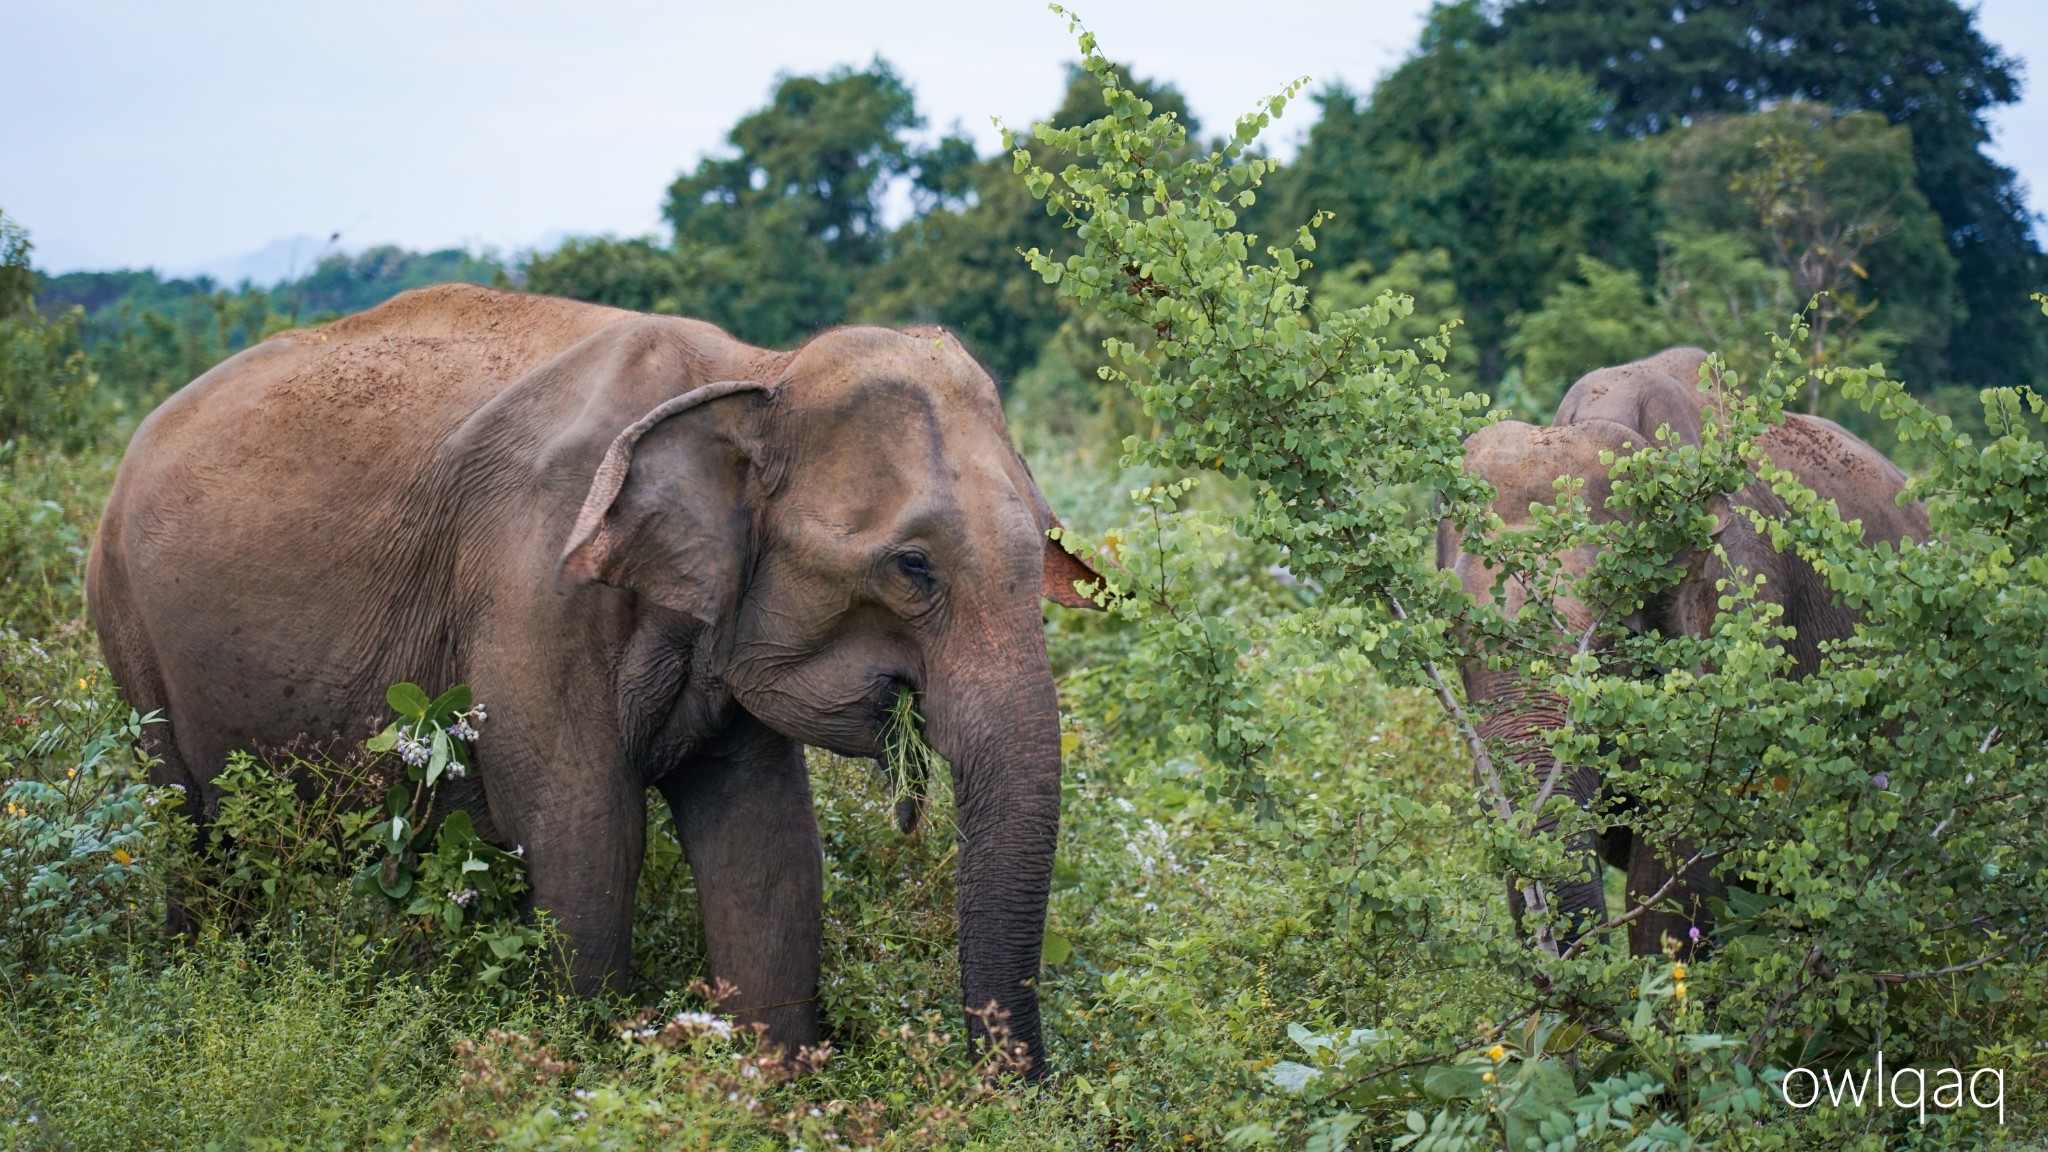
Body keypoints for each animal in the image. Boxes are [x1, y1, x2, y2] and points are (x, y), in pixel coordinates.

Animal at [88, 280, 1105, 1065]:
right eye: (913, 567)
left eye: (1047, 544)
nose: (1016, 1094)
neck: (755, 371)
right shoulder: (533, 581)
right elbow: (587, 834)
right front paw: (578, 1073)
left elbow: (767, 844)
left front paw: (770, 1088)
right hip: (127, 629)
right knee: (187, 828)